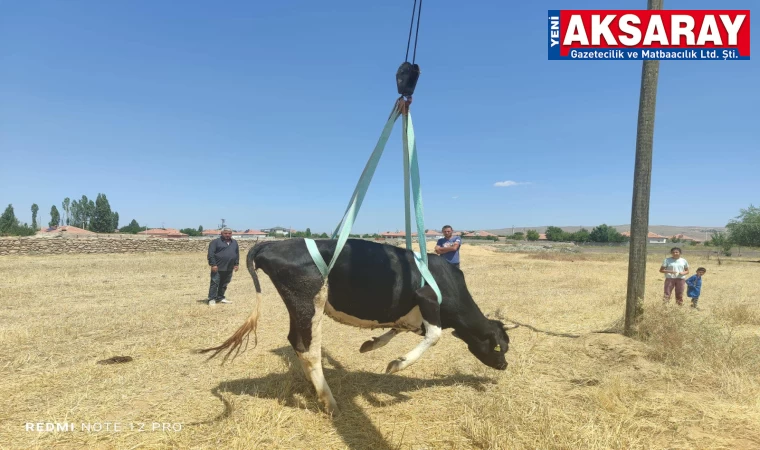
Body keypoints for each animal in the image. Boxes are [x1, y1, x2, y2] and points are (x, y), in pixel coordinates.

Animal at [199, 239, 512, 414]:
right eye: (500, 346)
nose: (504, 366)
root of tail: (270, 244)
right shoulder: (427, 298)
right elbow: (434, 336)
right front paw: (397, 363)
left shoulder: (410, 315)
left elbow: (396, 330)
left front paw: (370, 345)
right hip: (309, 301)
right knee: (308, 348)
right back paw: (329, 401)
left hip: (298, 306)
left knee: (295, 342)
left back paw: (315, 389)